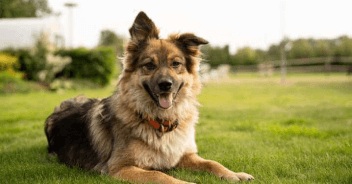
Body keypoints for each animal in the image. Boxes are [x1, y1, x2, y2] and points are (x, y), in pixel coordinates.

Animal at [45, 11, 254, 183]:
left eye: (175, 64)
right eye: (149, 65)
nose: (165, 85)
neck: (160, 123)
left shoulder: (185, 155)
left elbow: (212, 163)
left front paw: (235, 174)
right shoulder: (119, 167)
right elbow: (160, 175)